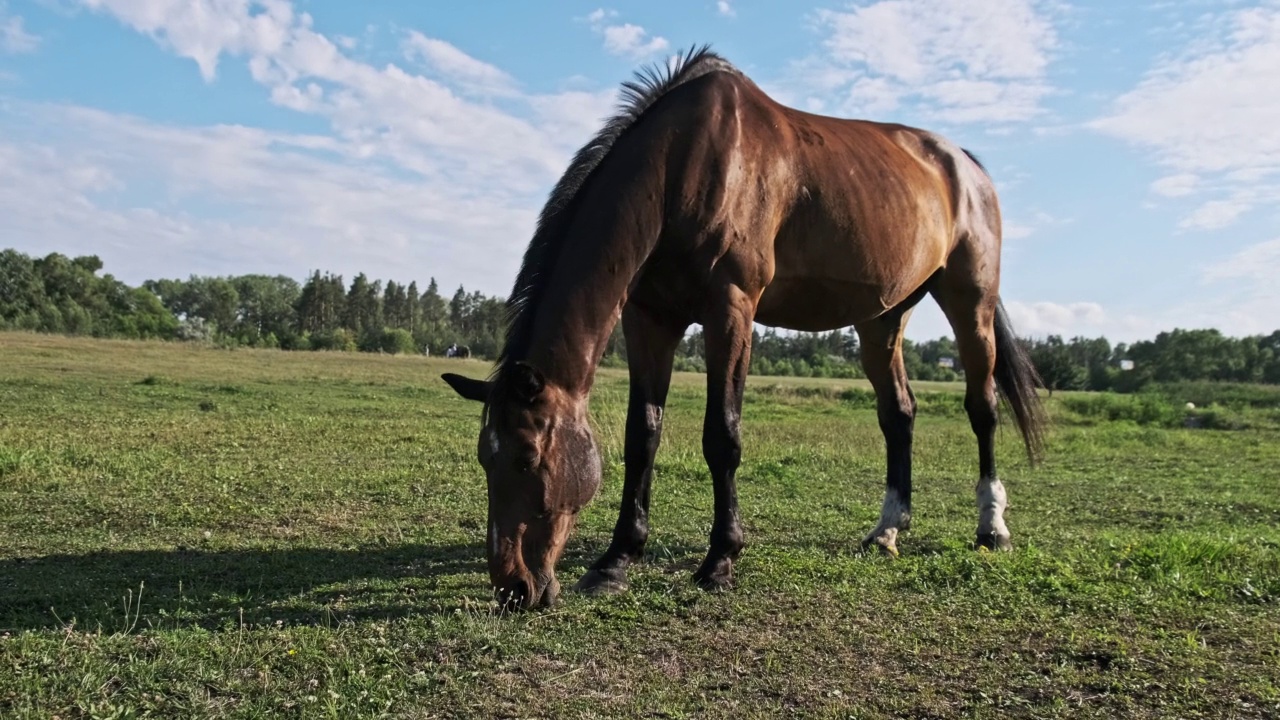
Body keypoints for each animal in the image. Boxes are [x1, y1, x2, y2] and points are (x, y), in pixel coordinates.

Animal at [445, 44, 1044, 607]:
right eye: (484, 458)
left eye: (527, 457)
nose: (514, 587)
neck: (684, 163)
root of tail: (964, 165)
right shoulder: (649, 318)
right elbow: (643, 434)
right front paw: (616, 560)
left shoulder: (731, 309)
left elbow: (722, 435)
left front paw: (720, 560)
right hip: (882, 319)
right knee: (898, 414)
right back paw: (886, 531)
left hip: (971, 303)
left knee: (983, 408)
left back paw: (992, 527)